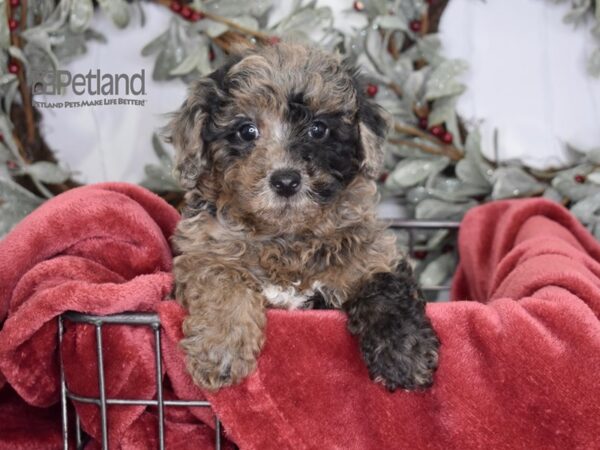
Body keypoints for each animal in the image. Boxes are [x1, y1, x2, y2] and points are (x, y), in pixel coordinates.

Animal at [166, 44, 438, 392]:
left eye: (318, 129)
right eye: (246, 130)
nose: (285, 181)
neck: (286, 238)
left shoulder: (373, 256)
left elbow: (386, 290)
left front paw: (406, 356)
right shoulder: (200, 253)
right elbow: (221, 280)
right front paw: (220, 351)